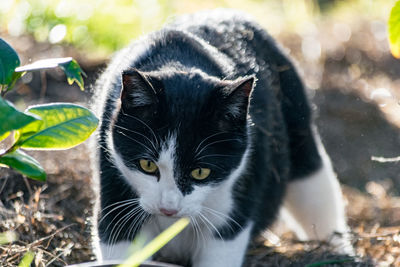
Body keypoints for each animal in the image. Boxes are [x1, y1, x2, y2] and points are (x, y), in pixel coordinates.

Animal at [90, 8, 350, 267]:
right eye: (147, 165)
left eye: (201, 172)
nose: (169, 209)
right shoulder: (115, 191)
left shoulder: (231, 216)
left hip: (297, 121)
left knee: (315, 187)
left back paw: (337, 251)